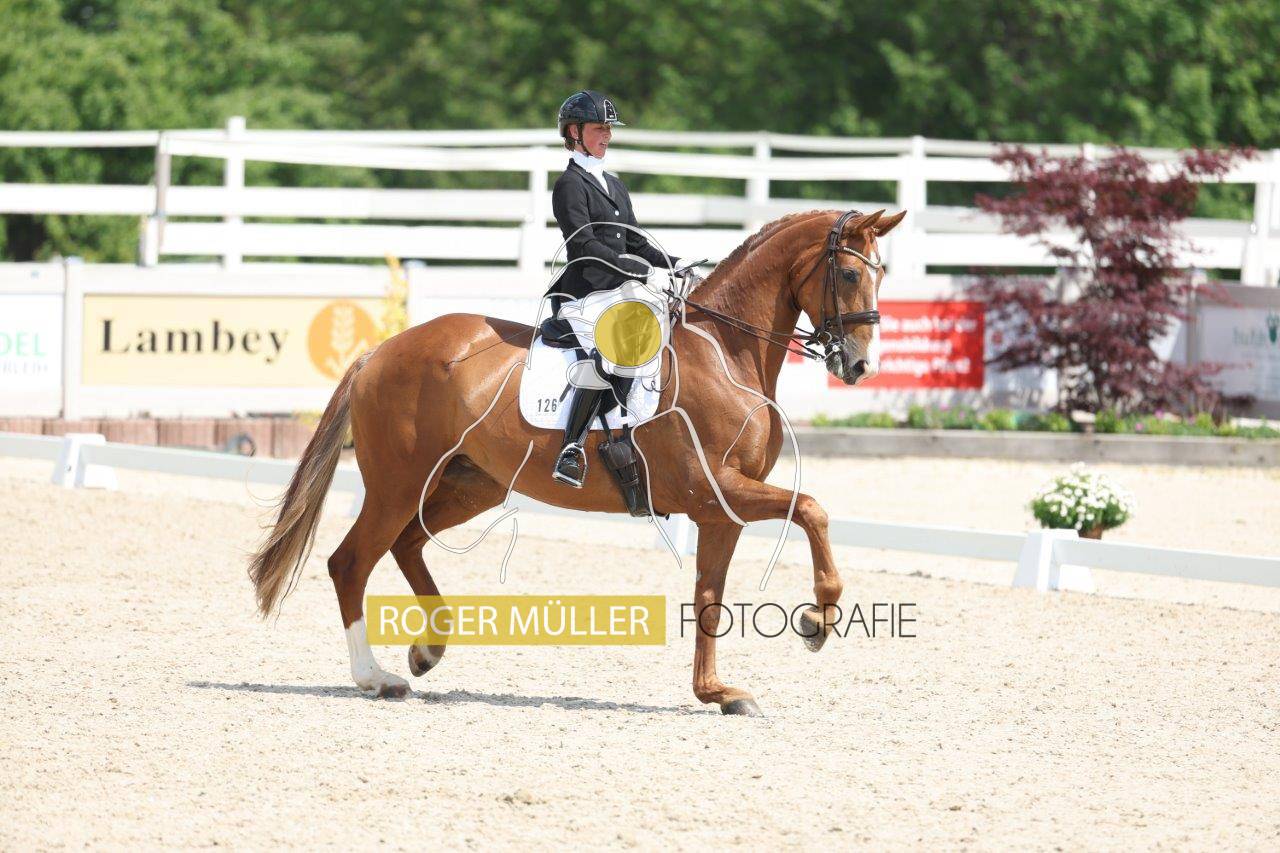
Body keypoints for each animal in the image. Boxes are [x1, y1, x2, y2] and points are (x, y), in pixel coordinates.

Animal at [248, 207, 905, 716]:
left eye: (881, 274)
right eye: (850, 272)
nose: (860, 366)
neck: (727, 352)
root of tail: (380, 352)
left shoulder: (720, 512)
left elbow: (709, 598)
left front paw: (717, 692)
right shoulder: (717, 489)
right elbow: (814, 510)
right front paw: (817, 621)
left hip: (471, 484)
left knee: (407, 543)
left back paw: (428, 649)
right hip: (397, 483)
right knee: (351, 561)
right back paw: (376, 677)